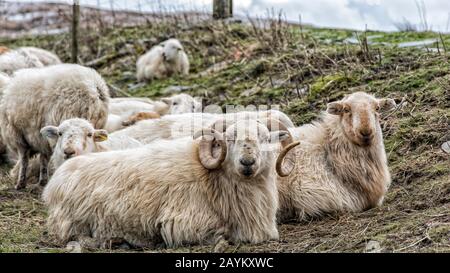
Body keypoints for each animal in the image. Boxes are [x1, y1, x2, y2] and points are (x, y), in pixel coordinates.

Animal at [42, 118, 298, 248]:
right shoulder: (182, 224)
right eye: (230, 139)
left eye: (265, 139)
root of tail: (57, 178)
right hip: (74, 222)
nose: (247, 162)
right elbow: (220, 232)